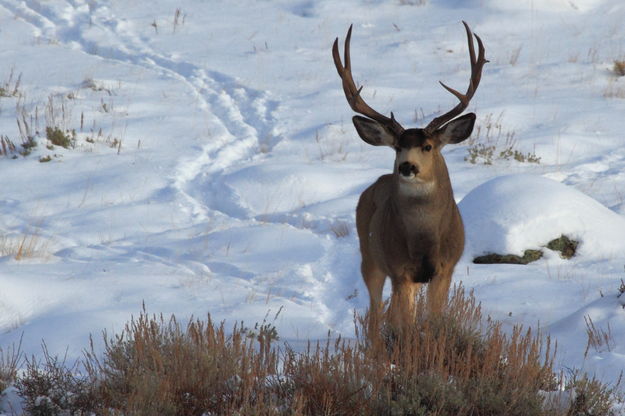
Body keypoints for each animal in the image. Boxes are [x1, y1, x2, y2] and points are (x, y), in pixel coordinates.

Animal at [332, 22, 488, 334]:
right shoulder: (399, 270)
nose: (407, 166)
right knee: (376, 315)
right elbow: (403, 325)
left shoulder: (445, 268)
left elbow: (435, 320)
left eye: (427, 146)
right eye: (397, 147)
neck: (424, 238)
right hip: (370, 256)